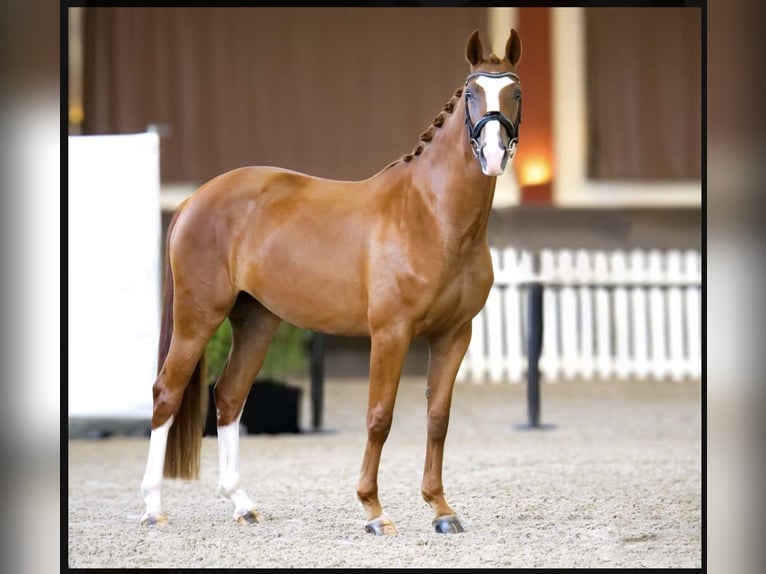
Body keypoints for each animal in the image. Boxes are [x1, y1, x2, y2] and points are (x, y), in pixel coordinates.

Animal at [140, 29, 520, 536]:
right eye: (473, 94)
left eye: (515, 93)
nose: (494, 155)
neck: (431, 216)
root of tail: (193, 200)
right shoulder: (391, 333)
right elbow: (379, 416)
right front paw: (374, 511)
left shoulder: (454, 335)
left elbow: (438, 417)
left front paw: (441, 510)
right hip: (197, 318)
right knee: (167, 393)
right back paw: (152, 507)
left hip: (256, 321)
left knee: (229, 396)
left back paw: (242, 503)